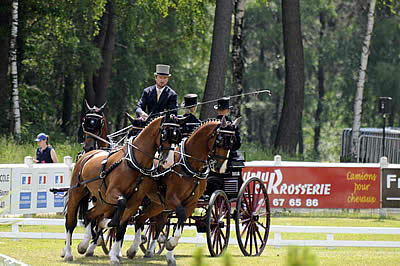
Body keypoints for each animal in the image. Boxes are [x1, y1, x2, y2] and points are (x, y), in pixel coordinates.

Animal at [61, 114, 181, 264]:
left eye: (177, 136)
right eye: (164, 134)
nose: (169, 162)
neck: (134, 163)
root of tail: (87, 155)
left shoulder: (134, 202)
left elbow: (121, 228)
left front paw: (114, 255)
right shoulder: (113, 194)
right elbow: (119, 209)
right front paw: (109, 225)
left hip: (102, 201)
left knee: (90, 215)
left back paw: (84, 244)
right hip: (78, 193)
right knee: (71, 221)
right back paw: (68, 253)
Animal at [122, 117, 239, 264]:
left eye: (232, 143)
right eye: (219, 140)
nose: (220, 167)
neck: (189, 165)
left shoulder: (191, 203)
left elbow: (179, 224)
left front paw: (170, 252)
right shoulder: (172, 199)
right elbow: (180, 216)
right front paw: (168, 243)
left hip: (157, 204)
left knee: (143, 219)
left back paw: (138, 249)